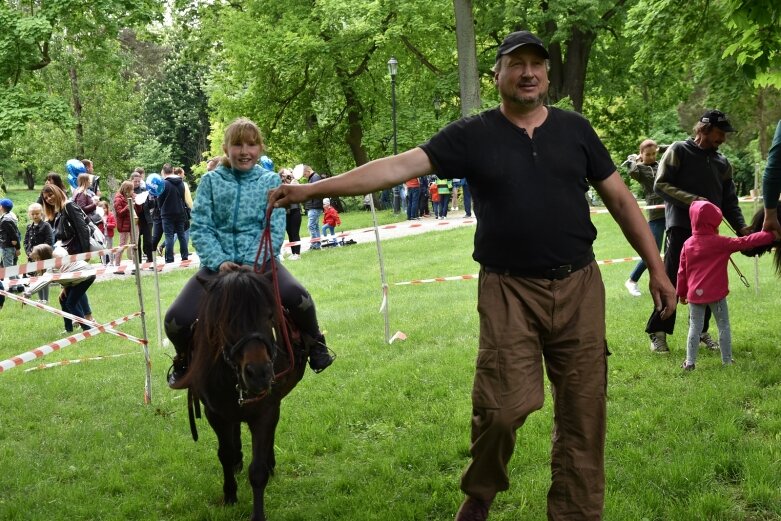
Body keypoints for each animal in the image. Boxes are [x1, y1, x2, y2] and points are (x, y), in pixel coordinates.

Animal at [180, 266, 308, 516]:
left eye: (269, 316)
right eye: (225, 320)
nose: (259, 373)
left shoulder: (266, 410)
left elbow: (257, 471)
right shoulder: (215, 413)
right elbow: (225, 454)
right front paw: (230, 494)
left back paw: (269, 462)